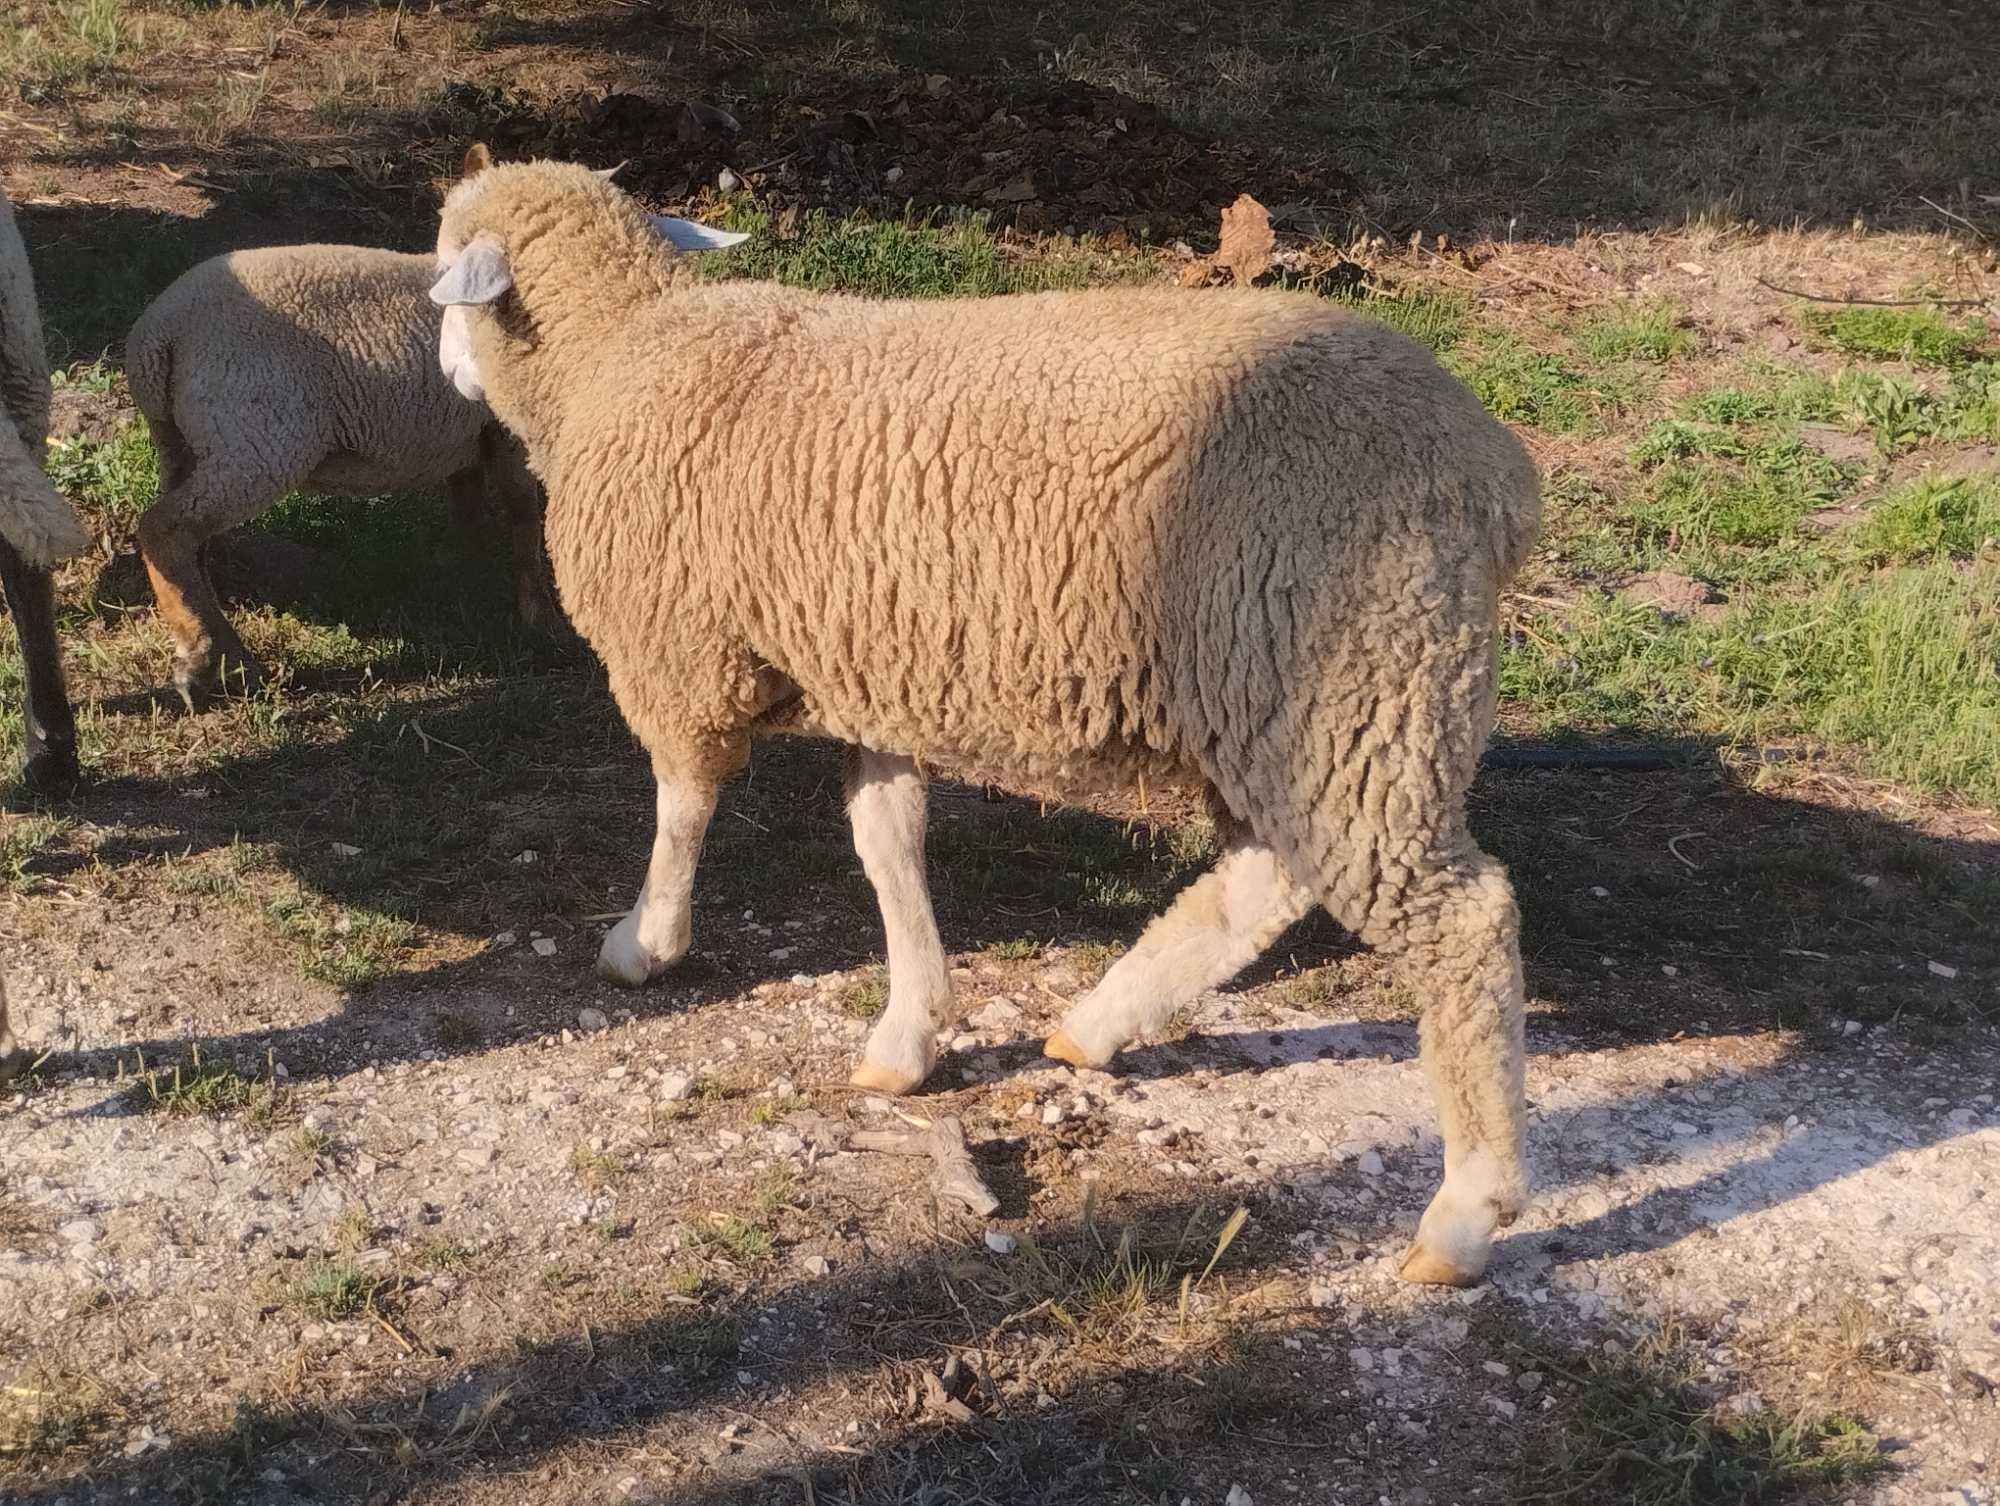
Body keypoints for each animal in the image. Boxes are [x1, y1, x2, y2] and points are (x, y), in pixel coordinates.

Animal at [125, 238, 556, 708]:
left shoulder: (467, 439)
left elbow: (470, 510)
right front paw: (537, 614)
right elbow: (524, 513)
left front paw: (470, 582)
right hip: (258, 441)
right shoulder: (508, 428)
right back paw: (210, 663)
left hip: (183, 445)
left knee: (191, 547)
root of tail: (157, 337)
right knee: (165, 530)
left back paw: (221, 654)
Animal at [430, 159, 1536, 1280]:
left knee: (1462, 922)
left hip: (1361, 679)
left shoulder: (683, 656)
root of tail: (1495, 474)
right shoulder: (871, 674)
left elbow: (682, 806)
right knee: (1268, 878)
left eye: (445, 274)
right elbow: (888, 846)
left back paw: (1463, 1213)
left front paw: (646, 944)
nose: (441, 373)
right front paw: (907, 1036)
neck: (620, 348)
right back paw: (1097, 1023)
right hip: (1305, 706)